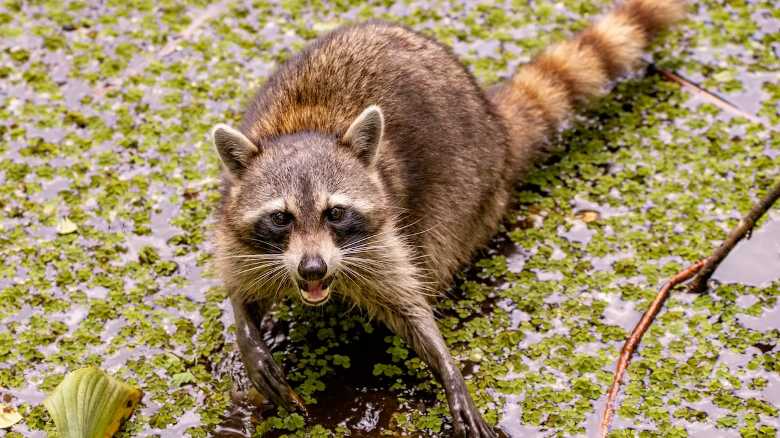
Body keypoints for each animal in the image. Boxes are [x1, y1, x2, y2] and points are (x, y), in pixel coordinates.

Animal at [212, 0, 685, 436]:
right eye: (281, 218)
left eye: (336, 213)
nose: (313, 268)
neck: (305, 129)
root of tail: (494, 124)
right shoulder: (235, 227)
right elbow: (239, 284)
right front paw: (247, 332)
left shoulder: (383, 238)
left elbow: (410, 307)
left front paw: (445, 365)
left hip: (465, 197)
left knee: (436, 253)